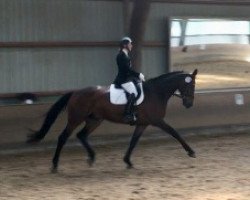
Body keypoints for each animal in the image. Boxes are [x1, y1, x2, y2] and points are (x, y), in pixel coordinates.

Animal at [27, 69, 198, 171]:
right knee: (63, 137)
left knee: (81, 135)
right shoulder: (157, 121)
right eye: (190, 86)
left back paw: (92, 158)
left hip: (95, 120)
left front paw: (127, 161)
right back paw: (55, 165)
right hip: (76, 118)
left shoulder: (142, 124)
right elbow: (175, 133)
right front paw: (191, 152)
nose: (189, 104)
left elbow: (133, 141)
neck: (156, 92)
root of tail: (75, 92)